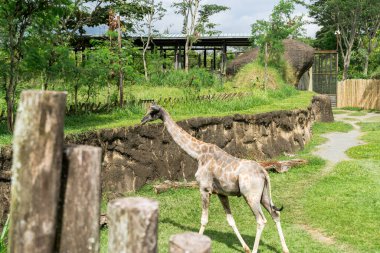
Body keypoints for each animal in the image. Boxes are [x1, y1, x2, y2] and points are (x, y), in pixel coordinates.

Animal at [141, 104, 290, 253]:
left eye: (152, 112)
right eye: (147, 110)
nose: (142, 120)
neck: (198, 154)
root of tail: (264, 172)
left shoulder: (204, 188)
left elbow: (204, 220)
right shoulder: (221, 193)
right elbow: (231, 220)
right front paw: (245, 248)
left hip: (250, 196)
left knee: (261, 220)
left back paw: (256, 250)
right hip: (263, 195)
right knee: (275, 214)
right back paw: (285, 249)